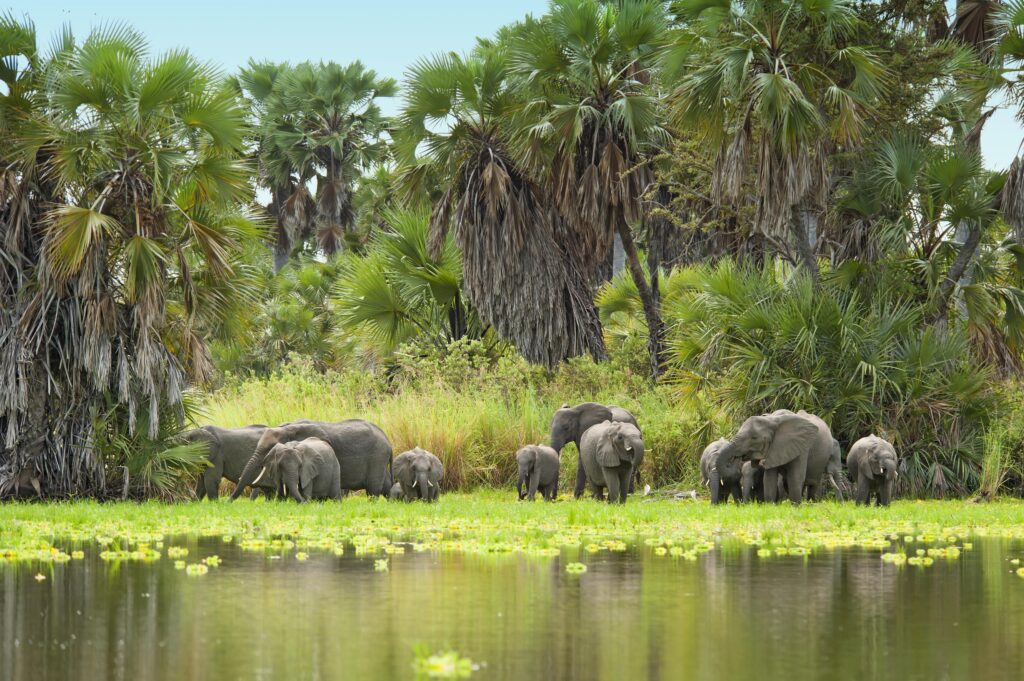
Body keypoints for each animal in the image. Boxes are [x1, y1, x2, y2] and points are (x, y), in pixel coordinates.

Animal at [230, 420, 392, 500]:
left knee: (373, 490)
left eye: (269, 448)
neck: (288, 427)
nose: (228, 502)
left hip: (377, 457)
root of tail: (388, 440)